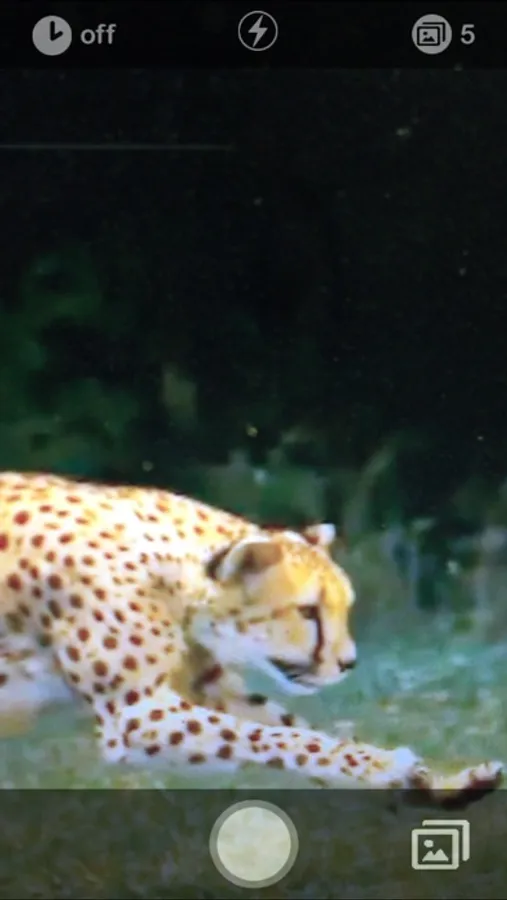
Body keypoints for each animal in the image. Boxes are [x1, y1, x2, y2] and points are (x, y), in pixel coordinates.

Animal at [0, 469, 501, 805]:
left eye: (345, 605)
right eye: (307, 611)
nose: (348, 663)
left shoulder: (206, 688)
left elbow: (295, 731)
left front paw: (435, 783)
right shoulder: (136, 714)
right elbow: (285, 739)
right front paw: (387, 767)